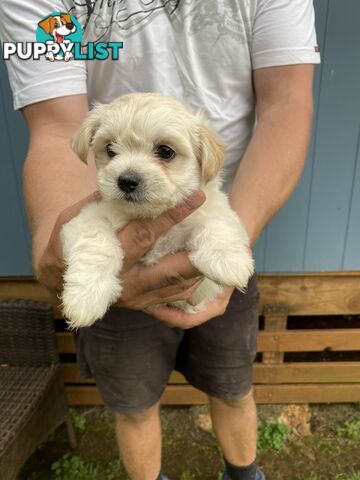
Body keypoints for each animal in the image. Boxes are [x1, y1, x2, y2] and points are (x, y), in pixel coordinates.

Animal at [61, 92, 253, 328]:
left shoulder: (216, 211)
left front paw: (227, 262)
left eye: (165, 151)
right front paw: (85, 298)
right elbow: (95, 246)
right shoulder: (88, 218)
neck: (152, 213)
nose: (127, 181)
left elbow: (217, 225)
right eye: (110, 149)